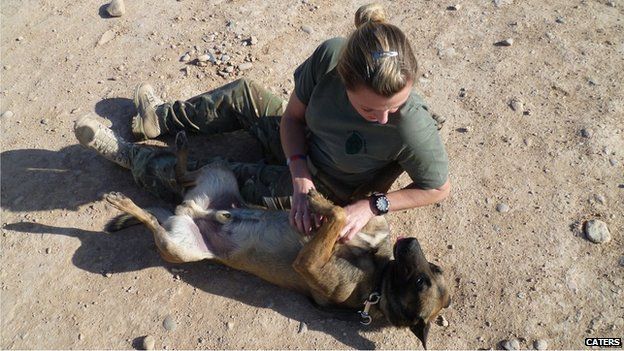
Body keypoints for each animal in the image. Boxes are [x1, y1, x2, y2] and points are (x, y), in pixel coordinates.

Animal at [105, 132, 450, 350]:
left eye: (422, 281)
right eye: (435, 269)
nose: (411, 243)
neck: (379, 279)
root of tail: (192, 211)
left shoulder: (309, 263)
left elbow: (338, 214)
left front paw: (318, 202)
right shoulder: (362, 219)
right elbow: (349, 205)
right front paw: (315, 200)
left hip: (178, 249)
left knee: (154, 222)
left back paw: (124, 202)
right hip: (220, 172)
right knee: (181, 176)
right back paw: (180, 148)